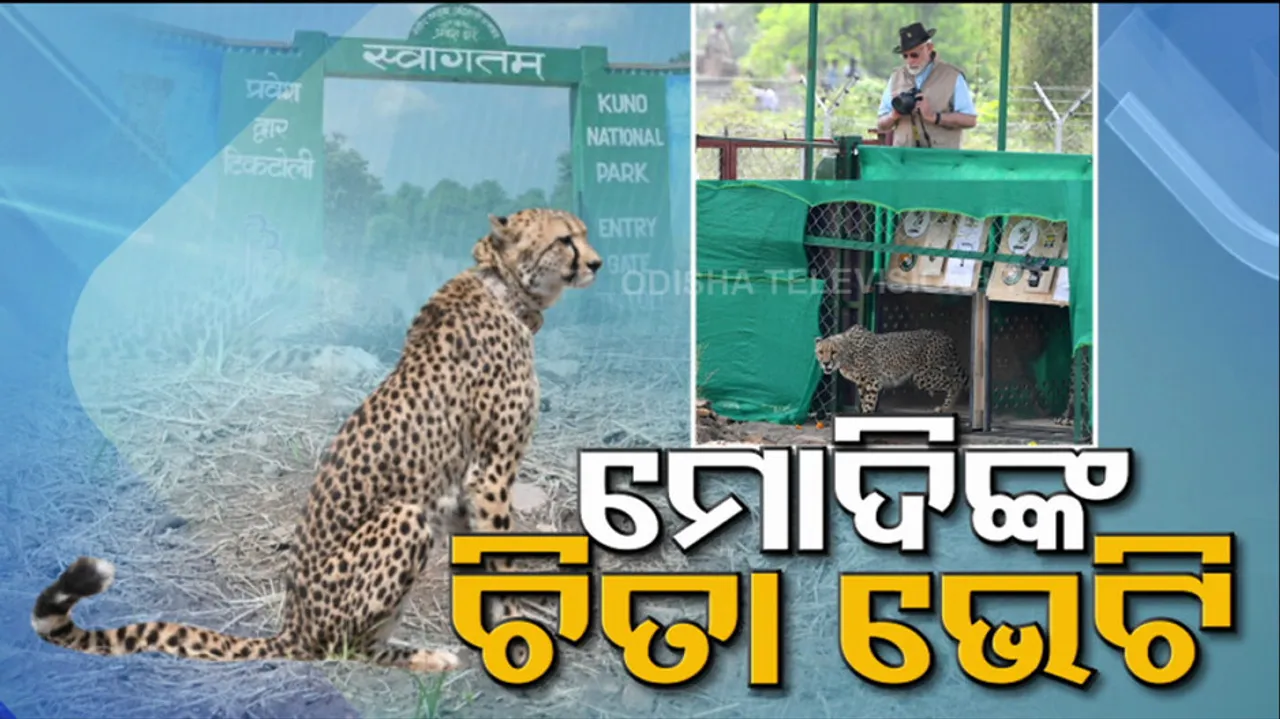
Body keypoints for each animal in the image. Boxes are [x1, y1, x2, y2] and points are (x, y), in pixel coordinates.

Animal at [32, 207, 603, 674]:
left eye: (583, 234)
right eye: (565, 239)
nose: (597, 263)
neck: (504, 287)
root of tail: (291, 626)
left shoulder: (465, 490)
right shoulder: (489, 474)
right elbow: (501, 559)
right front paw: (518, 636)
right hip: (403, 519)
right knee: (345, 648)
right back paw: (420, 655)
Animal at [815, 324, 969, 415]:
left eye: (833, 352)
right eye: (820, 352)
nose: (826, 363)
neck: (846, 354)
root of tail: (944, 335)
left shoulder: (872, 381)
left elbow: (869, 402)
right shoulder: (862, 383)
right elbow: (864, 401)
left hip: (922, 376)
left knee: (955, 381)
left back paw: (946, 408)